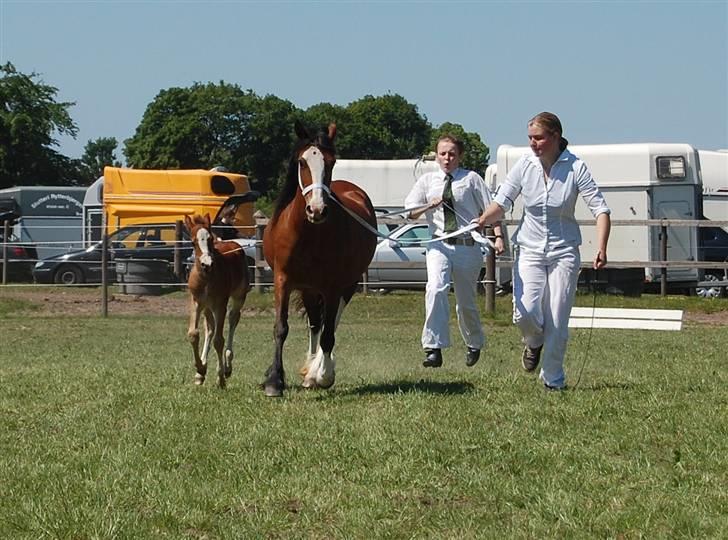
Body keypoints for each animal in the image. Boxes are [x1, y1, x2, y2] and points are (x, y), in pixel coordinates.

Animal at [185, 213, 250, 386]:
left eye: (210, 239)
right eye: (193, 242)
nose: (207, 264)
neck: (207, 278)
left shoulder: (220, 304)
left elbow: (219, 341)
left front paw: (220, 377)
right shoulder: (196, 302)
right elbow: (194, 334)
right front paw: (200, 369)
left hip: (239, 296)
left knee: (233, 318)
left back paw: (227, 367)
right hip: (207, 306)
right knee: (210, 328)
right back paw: (201, 374)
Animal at [262, 122, 376, 396]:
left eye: (332, 162)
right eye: (302, 162)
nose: (316, 209)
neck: (307, 234)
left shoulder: (332, 286)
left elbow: (328, 334)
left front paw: (322, 375)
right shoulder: (283, 280)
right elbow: (281, 328)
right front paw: (274, 380)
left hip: (348, 285)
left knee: (329, 325)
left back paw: (318, 371)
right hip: (309, 289)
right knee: (316, 324)